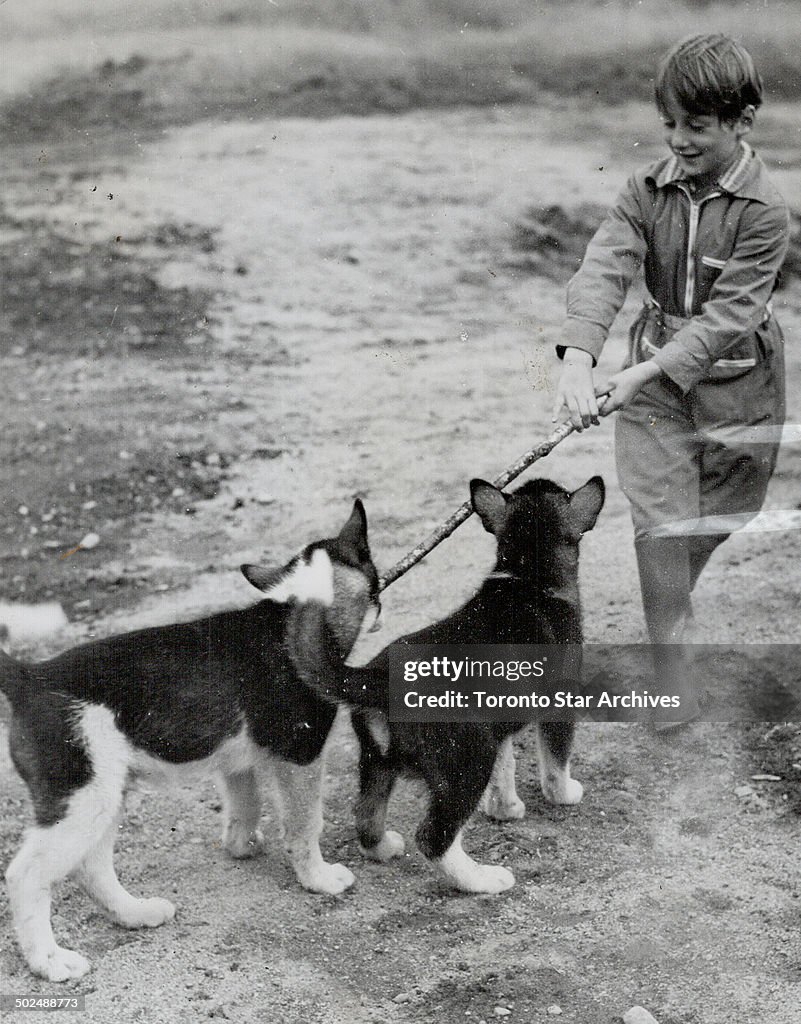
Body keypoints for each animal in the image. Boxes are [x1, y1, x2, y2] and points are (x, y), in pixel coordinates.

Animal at [0, 499, 378, 978]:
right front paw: (319, 879)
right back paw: (49, 960)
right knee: (26, 876)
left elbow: (245, 804)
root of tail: (29, 677)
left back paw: (136, 913)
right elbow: (305, 823)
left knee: (92, 867)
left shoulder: (240, 761)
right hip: (82, 800)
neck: (295, 607)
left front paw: (239, 845)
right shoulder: (301, 758)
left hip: (103, 797)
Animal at [297, 475, 606, 892]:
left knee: (366, 815)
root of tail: (377, 677)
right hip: (467, 761)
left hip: (378, 762)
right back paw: (483, 879)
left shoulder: (499, 725)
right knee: (433, 837)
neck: (527, 575)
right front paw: (565, 794)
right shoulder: (558, 705)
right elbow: (556, 762)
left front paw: (506, 809)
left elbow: (505, 769)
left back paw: (384, 847)